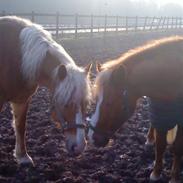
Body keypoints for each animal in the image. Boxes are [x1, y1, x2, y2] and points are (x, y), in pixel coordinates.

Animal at [0, 16, 91, 165]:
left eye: (85, 104)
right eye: (66, 104)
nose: (79, 147)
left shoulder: (22, 100)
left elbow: (20, 126)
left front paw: (23, 157)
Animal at [88, 35, 183, 183]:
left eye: (110, 102)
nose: (92, 138)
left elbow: (177, 147)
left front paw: (174, 177)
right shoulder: (160, 115)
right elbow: (160, 145)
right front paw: (156, 173)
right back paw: (149, 139)